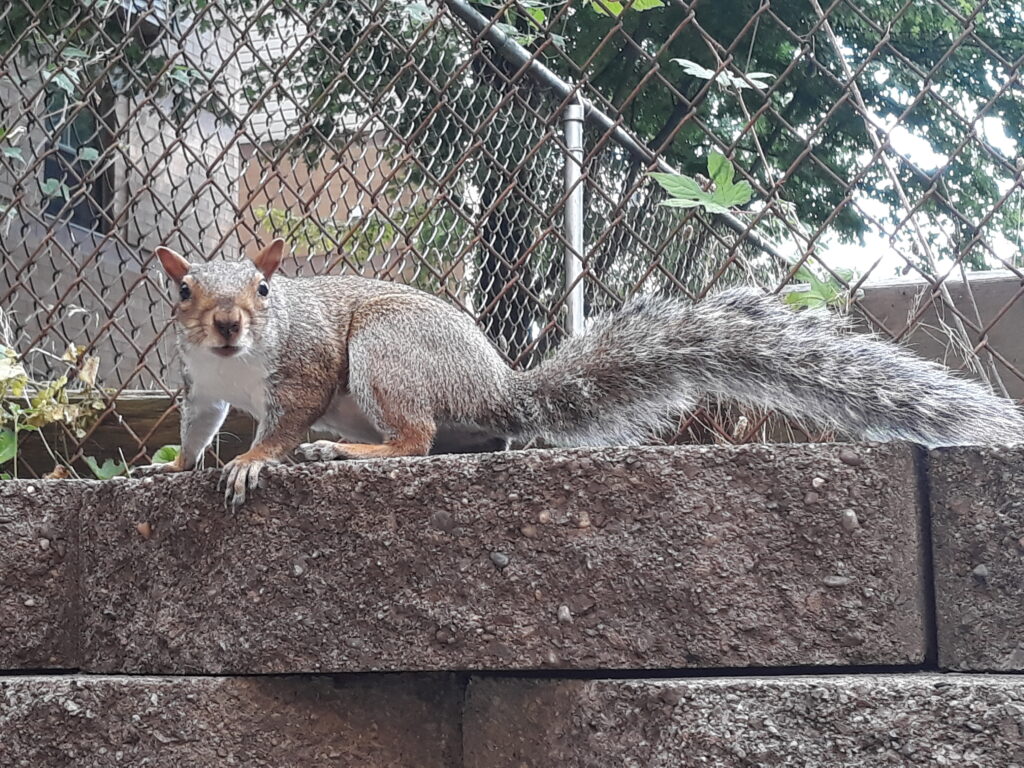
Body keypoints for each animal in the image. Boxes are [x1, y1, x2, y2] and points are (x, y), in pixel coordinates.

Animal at [151, 238, 1023, 504]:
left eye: (265, 290)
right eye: (185, 291)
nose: (228, 325)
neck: (238, 368)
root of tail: (496, 388)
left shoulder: (302, 369)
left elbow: (283, 422)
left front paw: (253, 463)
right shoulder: (201, 390)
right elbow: (197, 427)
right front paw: (172, 468)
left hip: (386, 357)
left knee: (417, 439)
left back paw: (348, 450)